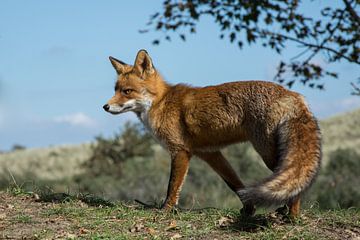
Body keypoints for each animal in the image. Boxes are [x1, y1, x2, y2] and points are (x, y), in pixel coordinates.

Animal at [102, 49, 322, 218]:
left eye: (127, 91)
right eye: (115, 89)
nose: (105, 107)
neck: (161, 102)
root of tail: (293, 95)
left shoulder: (180, 151)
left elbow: (172, 186)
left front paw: (165, 211)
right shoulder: (211, 154)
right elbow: (236, 185)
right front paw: (249, 210)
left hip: (268, 152)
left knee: (295, 185)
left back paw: (292, 215)